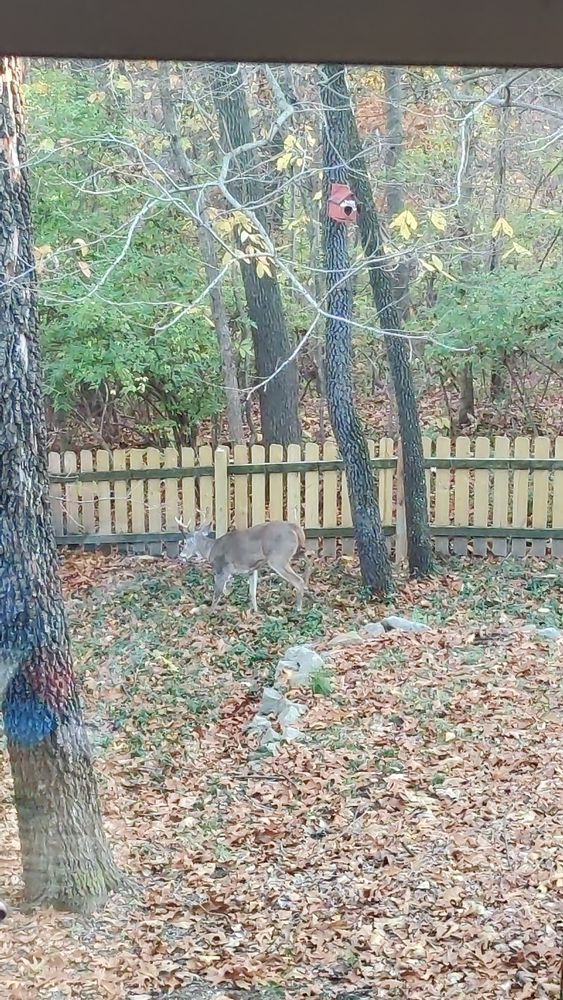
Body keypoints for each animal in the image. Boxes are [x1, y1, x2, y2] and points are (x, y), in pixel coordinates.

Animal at [175, 517, 313, 613]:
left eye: (186, 542)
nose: (181, 556)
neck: (210, 550)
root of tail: (294, 527)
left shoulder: (222, 569)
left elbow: (218, 593)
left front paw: (209, 612)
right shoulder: (252, 569)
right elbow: (252, 592)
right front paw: (256, 611)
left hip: (278, 558)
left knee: (298, 580)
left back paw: (298, 608)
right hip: (295, 551)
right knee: (309, 558)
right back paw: (307, 583)